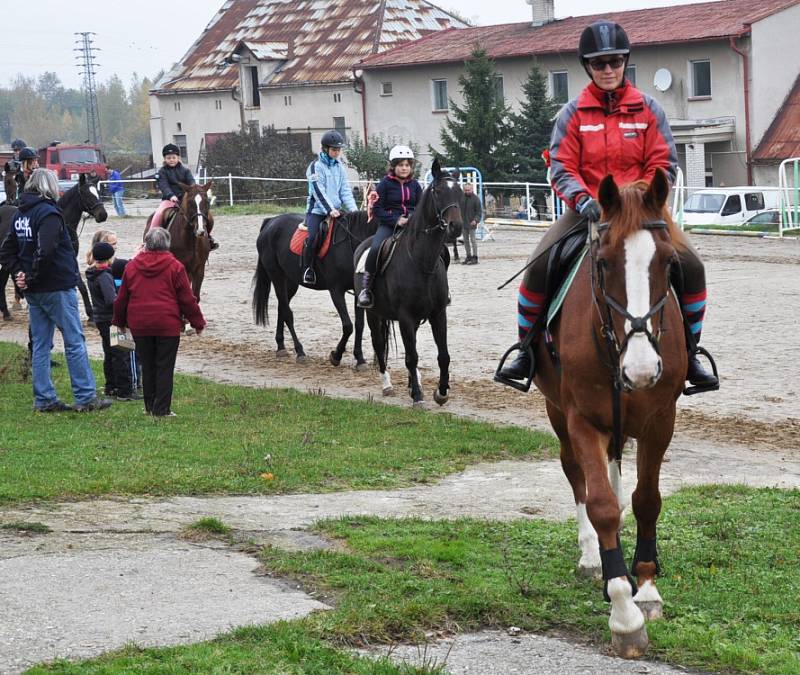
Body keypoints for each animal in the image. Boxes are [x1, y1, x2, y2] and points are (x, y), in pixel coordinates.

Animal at [253, 211, 378, 370]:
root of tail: (271, 222)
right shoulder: (336, 291)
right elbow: (348, 326)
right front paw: (336, 356)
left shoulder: (358, 292)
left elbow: (359, 325)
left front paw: (360, 359)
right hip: (277, 276)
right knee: (287, 313)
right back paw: (300, 352)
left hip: (290, 282)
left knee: (282, 308)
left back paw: (281, 347)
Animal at [356, 160, 462, 406]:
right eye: (438, 191)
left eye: (460, 192)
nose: (456, 226)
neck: (421, 261)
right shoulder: (405, 316)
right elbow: (411, 356)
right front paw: (417, 396)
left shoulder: (438, 313)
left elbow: (443, 355)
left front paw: (441, 392)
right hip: (373, 314)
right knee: (379, 344)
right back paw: (388, 385)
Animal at [540, 170, 692, 660]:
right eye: (603, 263)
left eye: (668, 262)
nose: (642, 370)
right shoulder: (582, 421)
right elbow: (602, 505)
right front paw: (625, 615)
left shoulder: (660, 419)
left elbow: (646, 500)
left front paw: (645, 588)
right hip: (558, 413)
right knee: (578, 478)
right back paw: (595, 559)